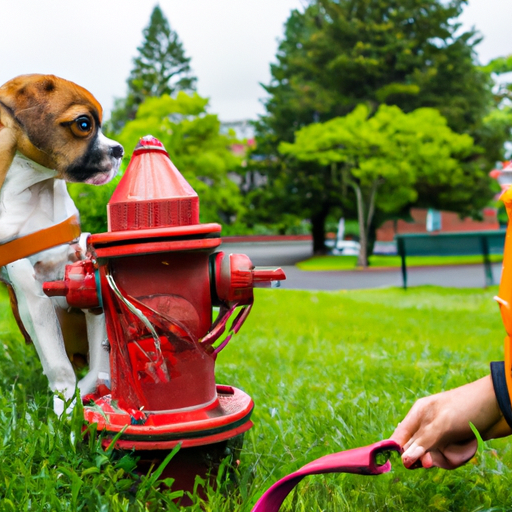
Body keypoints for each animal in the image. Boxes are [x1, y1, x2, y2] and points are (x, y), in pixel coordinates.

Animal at [0, 74, 123, 414]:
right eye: (83, 124)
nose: (119, 149)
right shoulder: (33, 296)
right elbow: (57, 363)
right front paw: (65, 407)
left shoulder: (86, 288)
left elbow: (100, 359)